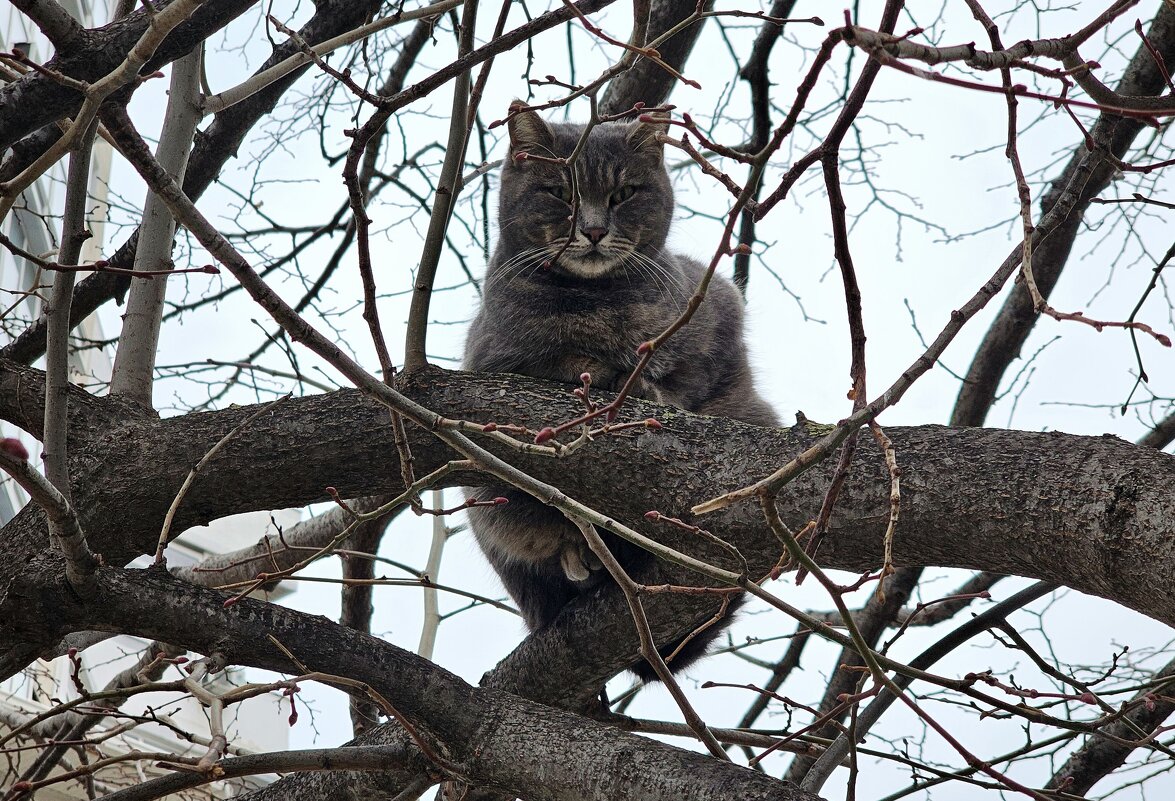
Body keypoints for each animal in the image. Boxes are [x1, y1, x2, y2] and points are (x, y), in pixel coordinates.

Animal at [460, 106, 780, 676]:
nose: (592, 229)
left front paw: (646, 387)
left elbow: (682, 379)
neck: (596, 301)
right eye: (559, 193)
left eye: (623, 193)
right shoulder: (496, 361)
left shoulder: (719, 312)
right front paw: (599, 370)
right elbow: (563, 362)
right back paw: (580, 555)